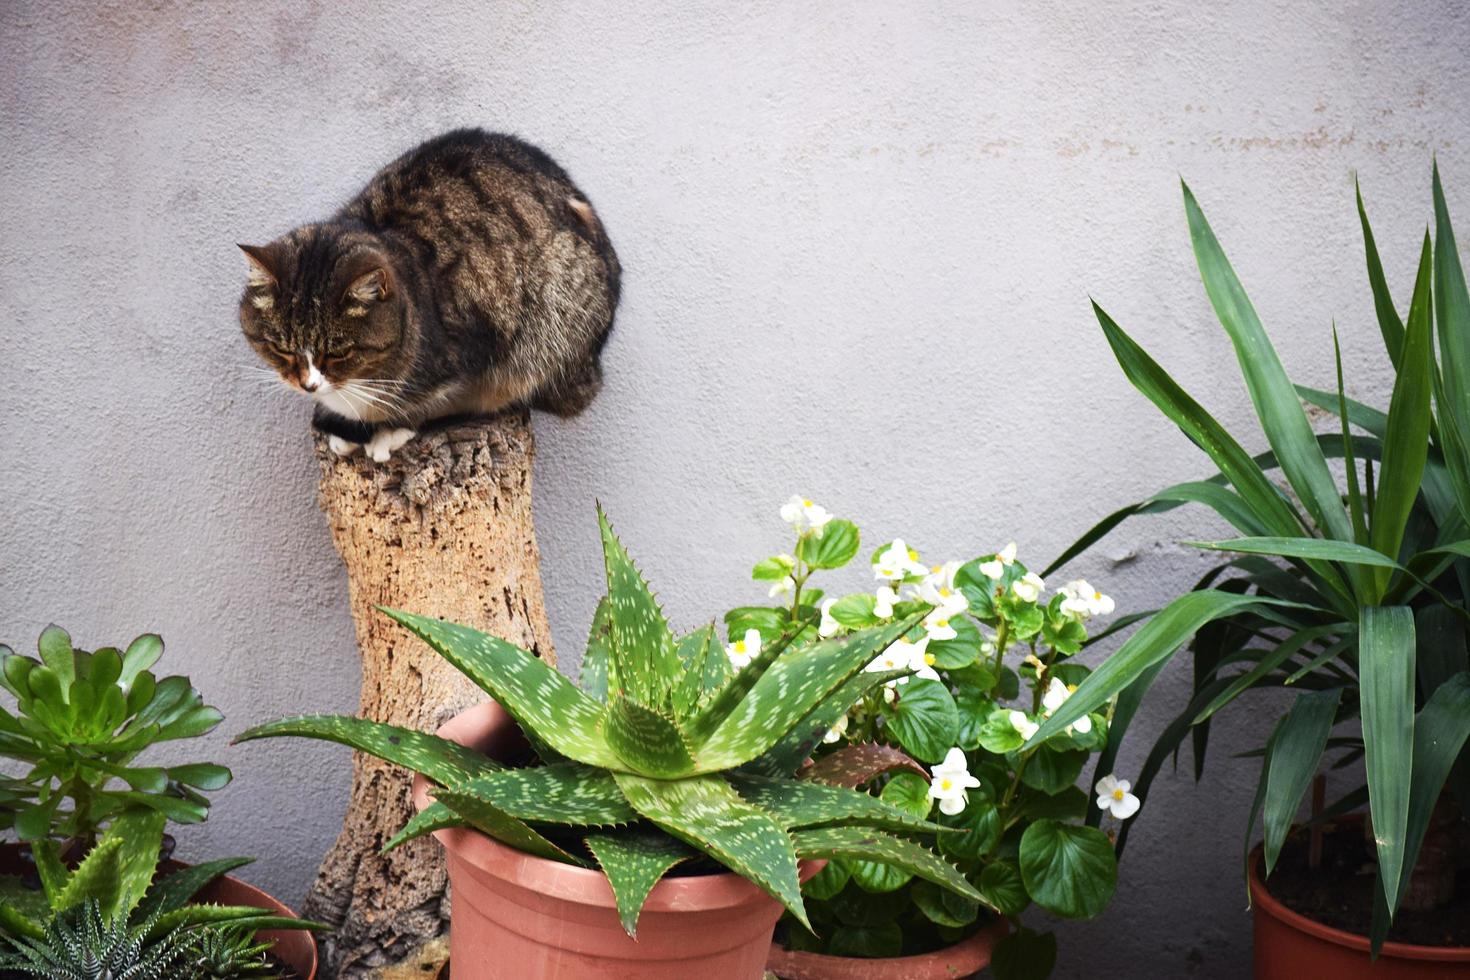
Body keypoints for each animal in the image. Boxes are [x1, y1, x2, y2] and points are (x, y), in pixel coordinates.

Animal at [238, 128, 617, 461]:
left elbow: (434, 402)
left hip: (550, 329)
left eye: (340, 352)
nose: (308, 385)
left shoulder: (474, 347)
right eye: (280, 348)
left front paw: (387, 431)